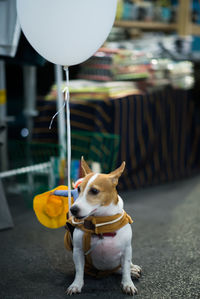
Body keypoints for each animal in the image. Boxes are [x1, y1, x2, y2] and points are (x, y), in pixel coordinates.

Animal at [65, 158, 141, 296]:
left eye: (94, 191)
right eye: (78, 189)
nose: (73, 210)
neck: (101, 223)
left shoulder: (127, 250)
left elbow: (126, 270)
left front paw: (128, 284)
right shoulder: (78, 251)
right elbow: (79, 271)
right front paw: (76, 285)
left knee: (123, 268)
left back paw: (132, 269)